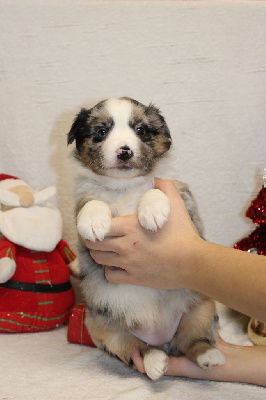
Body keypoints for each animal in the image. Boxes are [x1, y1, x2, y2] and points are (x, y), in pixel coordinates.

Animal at [67, 97, 225, 382]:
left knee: (193, 340)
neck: (124, 187)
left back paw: (209, 355)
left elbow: (154, 190)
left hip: (203, 308)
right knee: (139, 349)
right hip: (104, 329)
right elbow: (92, 202)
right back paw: (154, 361)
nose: (124, 152)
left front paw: (152, 211)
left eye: (140, 130)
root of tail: (161, 336)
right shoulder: (83, 205)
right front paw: (93, 221)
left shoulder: (183, 198)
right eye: (101, 132)